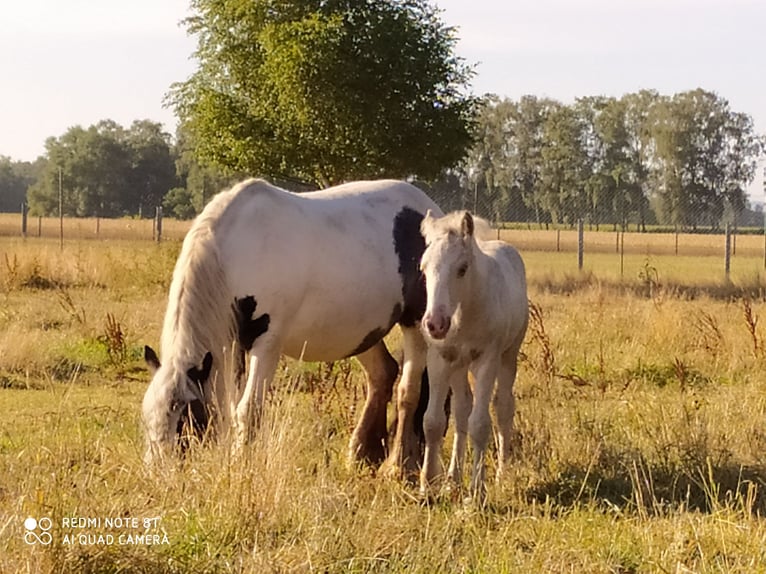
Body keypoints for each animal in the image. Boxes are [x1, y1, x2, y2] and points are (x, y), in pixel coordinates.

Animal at [142, 179, 444, 472]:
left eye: (186, 418)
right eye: (147, 417)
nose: (158, 473)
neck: (237, 251)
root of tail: (428, 209)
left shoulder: (267, 344)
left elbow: (248, 410)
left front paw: (241, 465)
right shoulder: (234, 345)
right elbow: (230, 405)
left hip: (415, 324)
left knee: (408, 391)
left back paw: (400, 465)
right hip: (362, 333)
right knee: (383, 373)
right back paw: (361, 454)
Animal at [420, 209, 528, 502]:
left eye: (461, 268)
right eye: (423, 269)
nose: (435, 324)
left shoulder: (487, 360)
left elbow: (480, 424)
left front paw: (477, 492)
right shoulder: (440, 360)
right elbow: (433, 422)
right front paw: (427, 486)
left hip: (508, 356)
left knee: (503, 408)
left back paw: (501, 475)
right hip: (459, 366)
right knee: (461, 410)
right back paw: (452, 480)